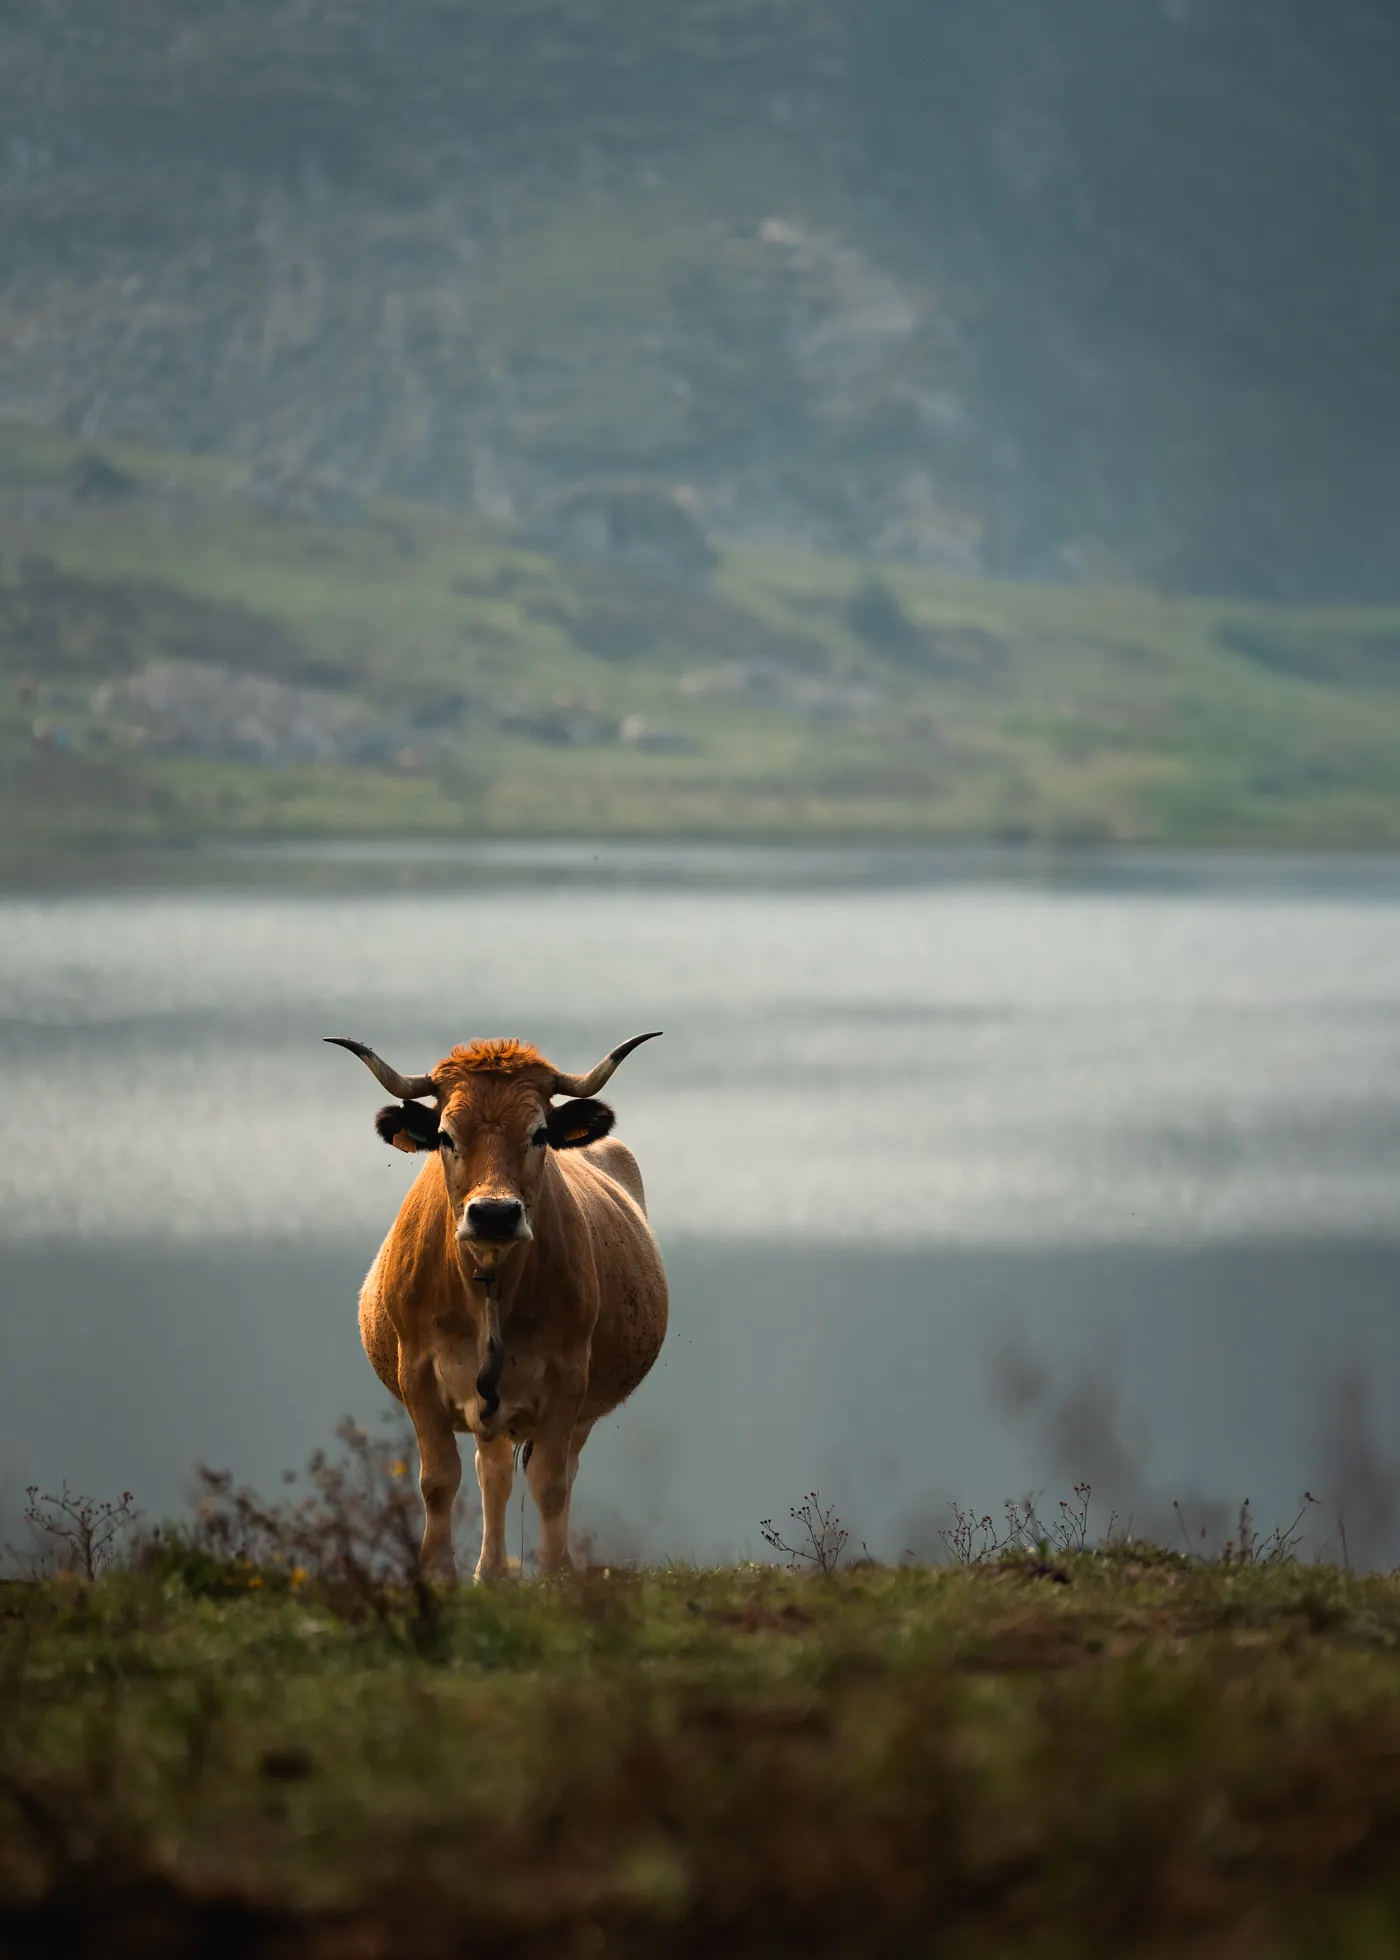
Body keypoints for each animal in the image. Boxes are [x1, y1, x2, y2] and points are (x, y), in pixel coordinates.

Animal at [326, 1029, 667, 1582]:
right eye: (445, 1135)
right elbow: (439, 1480)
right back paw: (490, 1572)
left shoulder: (568, 1377)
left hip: (575, 1408)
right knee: (494, 1472)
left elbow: (550, 1481)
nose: (494, 1214)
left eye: (540, 1133)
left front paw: (557, 1574)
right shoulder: (416, 1372)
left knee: (549, 1470)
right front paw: (438, 1573)